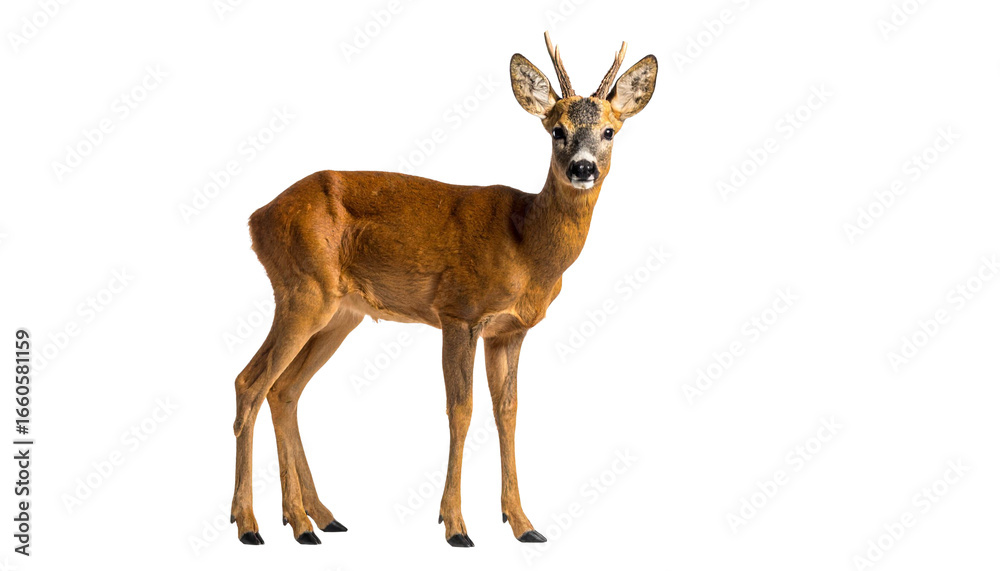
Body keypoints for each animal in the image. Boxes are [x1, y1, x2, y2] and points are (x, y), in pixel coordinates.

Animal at [230, 32, 657, 547]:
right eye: (557, 130)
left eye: (610, 132)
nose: (582, 167)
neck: (527, 245)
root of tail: (255, 219)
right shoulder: (459, 312)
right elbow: (462, 410)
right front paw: (455, 526)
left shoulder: (509, 330)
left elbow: (508, 412)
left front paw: (522, 523)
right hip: (301, 291)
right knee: (251, 382)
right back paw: (250, 524)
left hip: (339, 313)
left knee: (285, 390)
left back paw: (312, 520)